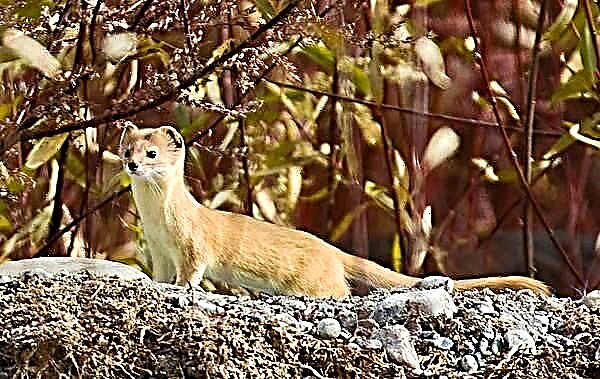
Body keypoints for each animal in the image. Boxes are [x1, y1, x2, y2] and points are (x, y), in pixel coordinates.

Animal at [118, 125, 552, 300]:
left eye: (152, 153)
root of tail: (332, 250)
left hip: (314, 279)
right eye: (127, 150)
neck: (159, 223)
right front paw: (157, 283)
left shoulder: (193, 244)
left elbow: (193, 270)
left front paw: (182, 287)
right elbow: (160, 272)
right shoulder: (158, 248)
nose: (133, 165)